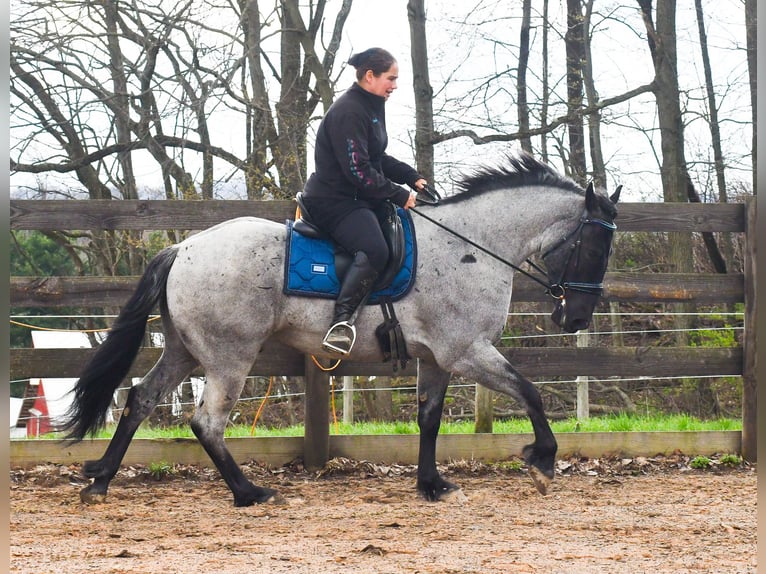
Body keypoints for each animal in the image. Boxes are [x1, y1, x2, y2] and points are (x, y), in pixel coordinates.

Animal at [62, 152, 620, 506]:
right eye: (595, 245)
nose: (576, 319)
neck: (473, 244)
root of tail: (185, 247)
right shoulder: (466, 351)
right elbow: (530, 392)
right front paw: (542, 462)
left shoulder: (437, 359)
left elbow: (429, 419)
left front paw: (433, 485)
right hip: (228, 357)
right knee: (207, 423)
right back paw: (249, 493)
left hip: (184, 350)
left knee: (141, 399)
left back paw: (101, 480)